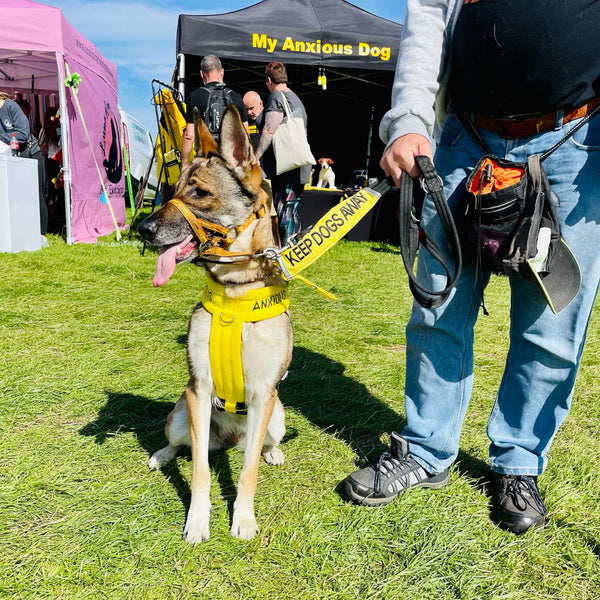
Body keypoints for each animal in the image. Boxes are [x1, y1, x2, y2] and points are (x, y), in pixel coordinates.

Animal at [138, 104, 292, 544]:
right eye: (172, 191)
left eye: (199, 193)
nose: (142, 229)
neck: (235, 295)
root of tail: (228, 440)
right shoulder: (199, 391)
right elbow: (200, 471)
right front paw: (197, 520)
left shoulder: (263, 394)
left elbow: (248, 470)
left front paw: (243, 519)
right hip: (181, 415)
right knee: (187, 447)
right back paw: (162, 454)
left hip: (277, 416)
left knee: (257, 447)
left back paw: (273, 452)